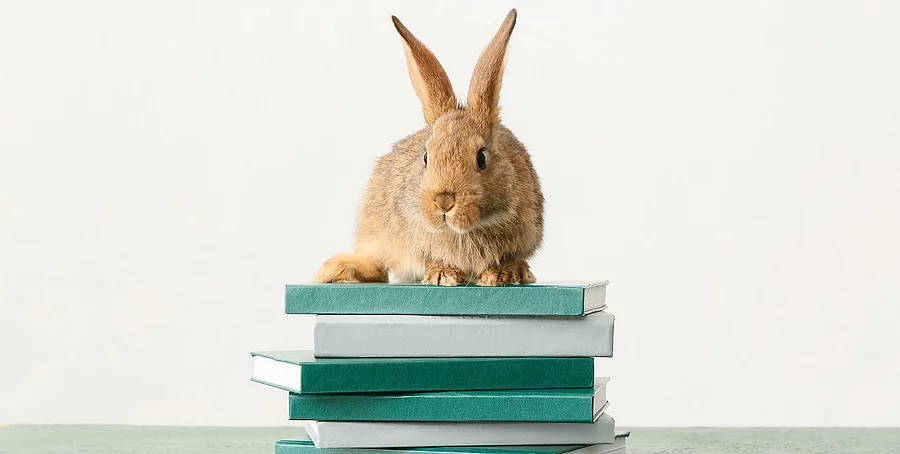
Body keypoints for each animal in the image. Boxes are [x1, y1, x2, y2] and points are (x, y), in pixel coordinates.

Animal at [314, 9, 544, 286]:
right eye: (426, 157)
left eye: (481, 158)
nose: (444, 201)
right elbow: (427, 259)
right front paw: (442, 275)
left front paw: (501, 275)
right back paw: (337, 269)